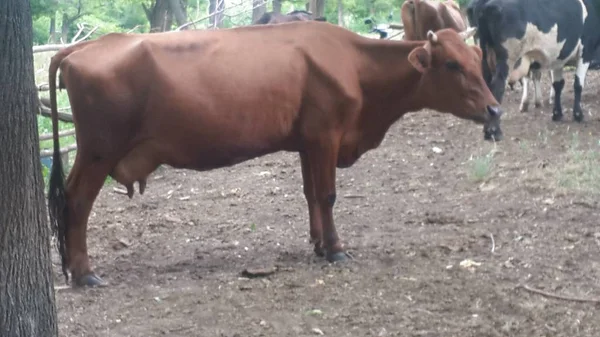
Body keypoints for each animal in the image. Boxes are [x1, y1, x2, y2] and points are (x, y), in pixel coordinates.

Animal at [48, 22, 502, 288]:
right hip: (98, 152)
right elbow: (328, 195)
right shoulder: (326, 135)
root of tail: (82, 49)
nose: (495, 109)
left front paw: (318, 242)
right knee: (76, 202)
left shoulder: (307, 141)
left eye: (476, 57)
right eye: (451, 64)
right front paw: (335, 249)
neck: (353, 64)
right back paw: (84, 273)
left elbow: (311, 194)